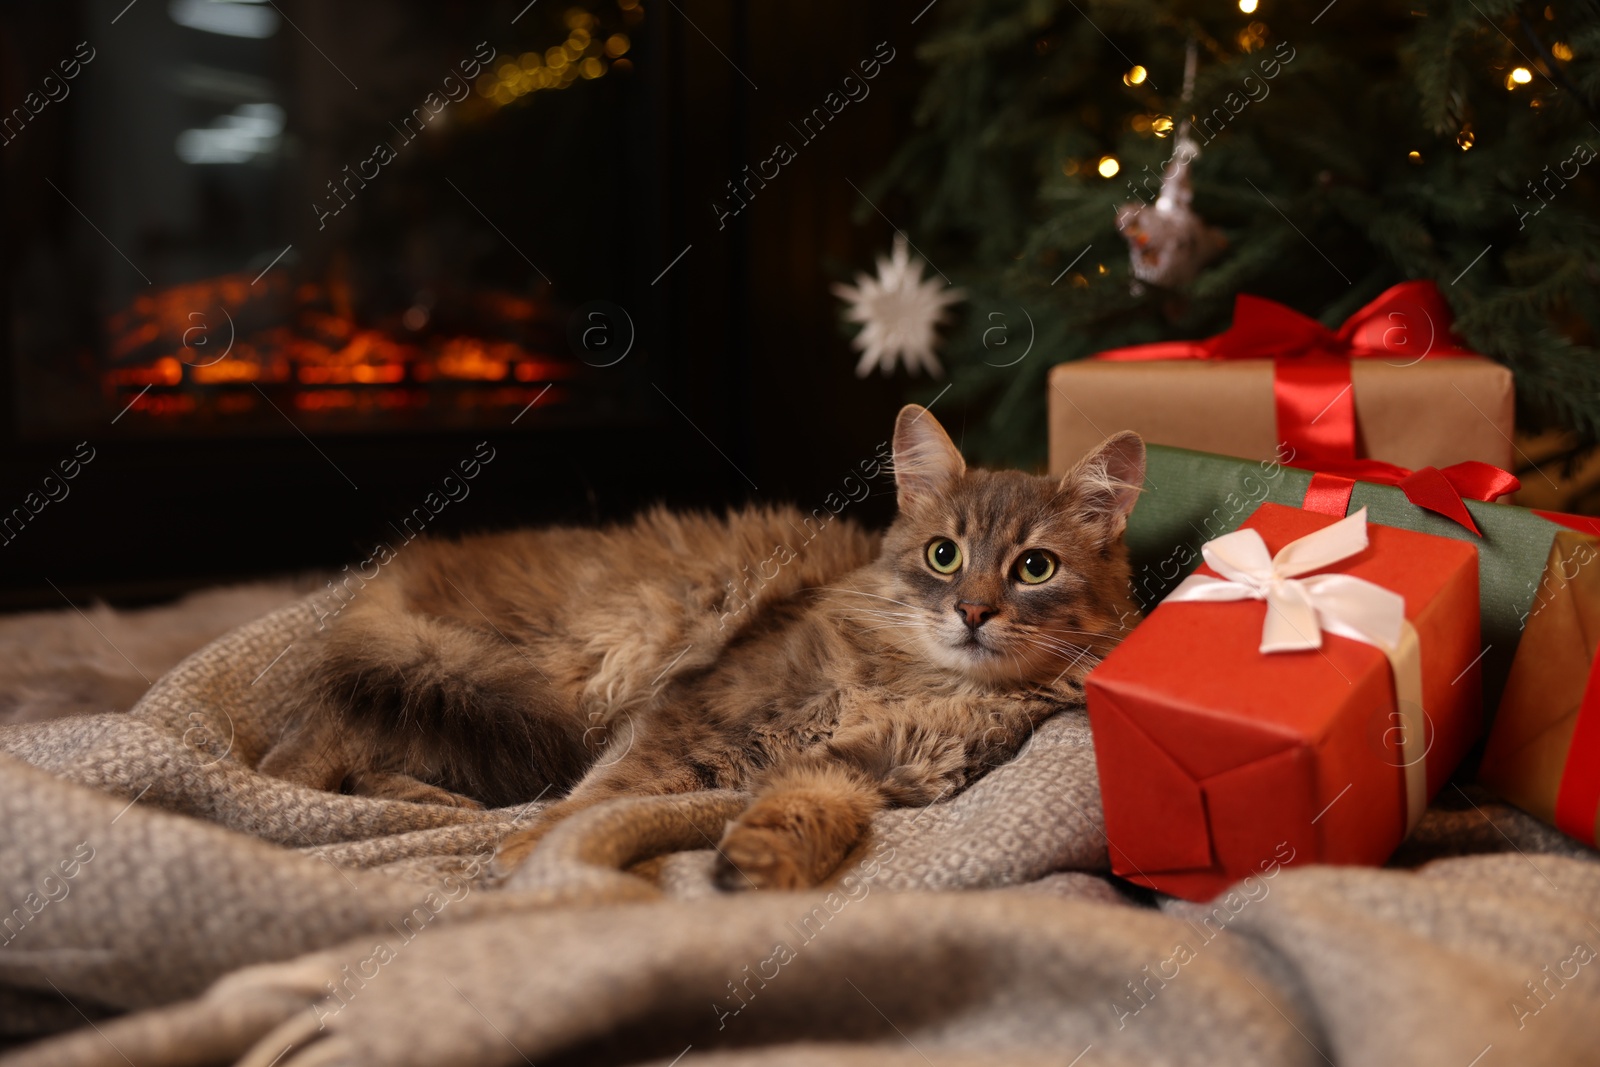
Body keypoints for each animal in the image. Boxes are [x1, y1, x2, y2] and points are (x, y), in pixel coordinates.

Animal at [256, 404, 1145, 889]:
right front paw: (533, 850)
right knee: (312, 741)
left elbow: (805, 809)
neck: (929, 685)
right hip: (537, 669)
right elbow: (600, 798)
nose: (972, 611)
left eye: (1035, 567)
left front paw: (760, 859)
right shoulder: (694, 714)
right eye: (943, 554)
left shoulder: (862, 769)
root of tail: (408, 559)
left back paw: (439, 803)